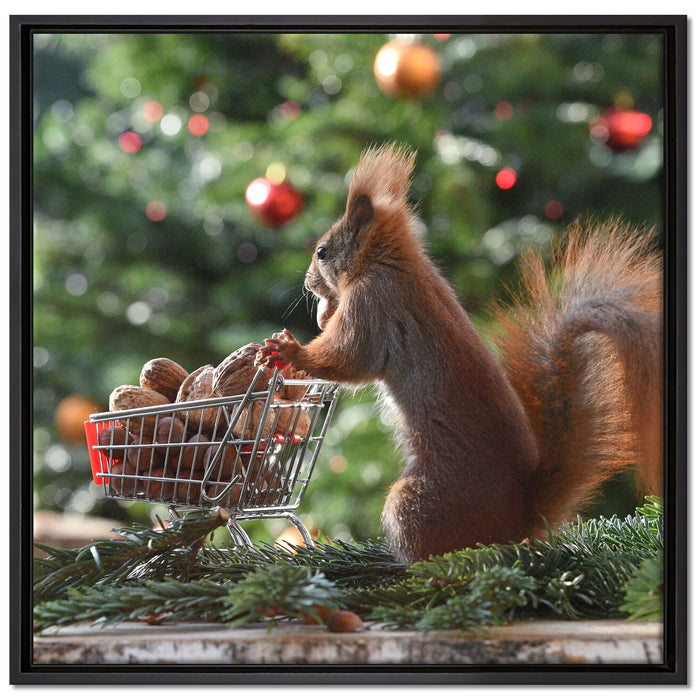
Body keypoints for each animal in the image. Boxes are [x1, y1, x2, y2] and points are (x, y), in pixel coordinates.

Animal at [257, 143, 663, 565]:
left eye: (321, 252)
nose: (308, 285)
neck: (391, 263)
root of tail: (519, 520)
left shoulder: (374, 303)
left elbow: (348, 359)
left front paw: (290, 350)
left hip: (416, 503)